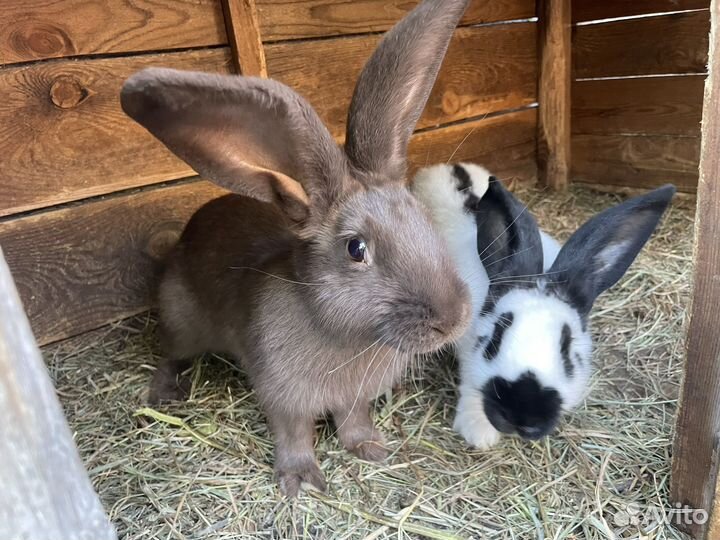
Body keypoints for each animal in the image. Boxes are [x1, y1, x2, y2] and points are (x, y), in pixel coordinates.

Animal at [120, 0, 473, 497]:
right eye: (356, 249)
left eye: (424, 216)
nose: (452, 319)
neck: (345, 336)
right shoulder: (282, 396)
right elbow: (294, 434)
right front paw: (301, 480)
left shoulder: (352, 398)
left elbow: (353, 419)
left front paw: (371, 449)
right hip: (179, 320)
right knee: (170, 354)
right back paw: (166, 394)